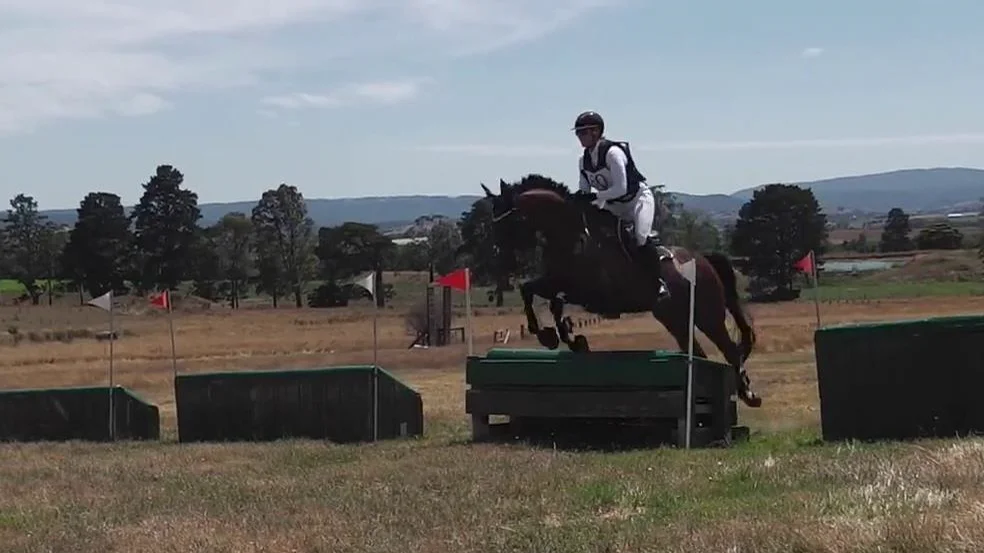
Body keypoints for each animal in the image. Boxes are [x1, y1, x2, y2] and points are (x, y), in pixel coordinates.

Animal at [481, 175, 762, 408]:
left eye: (508, 222)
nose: (500, 259)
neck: (568, 234)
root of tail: (704, 259)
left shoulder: (586, 291)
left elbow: (550, 300)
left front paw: (557, 335)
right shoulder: (558, 283)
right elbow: (533, 292)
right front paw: (559, 337)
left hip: (707, 315)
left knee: (729, 350)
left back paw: (748, 394)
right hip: (675, 319)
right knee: (698, 352)